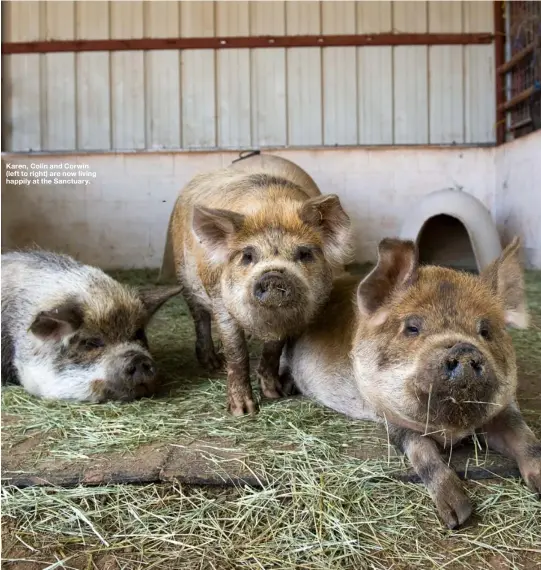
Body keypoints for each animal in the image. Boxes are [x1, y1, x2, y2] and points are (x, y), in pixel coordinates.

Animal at [162, 153, 352, 414]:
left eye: (304, 253)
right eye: (247, 255)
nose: (273, 275)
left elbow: (274, 348)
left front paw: (275, 394)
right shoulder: (220, 300)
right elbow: (236, 351)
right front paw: (243, 411)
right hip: (186, 279)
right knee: (200, 317)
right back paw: (213, 363)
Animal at [284, 236, 536, 528]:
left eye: (485, 331)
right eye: (412, 328)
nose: (463, 349)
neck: (450, 431)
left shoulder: (503, 410)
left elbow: (527, 440)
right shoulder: (393, 421)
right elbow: (425, 456)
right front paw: (457, 516)